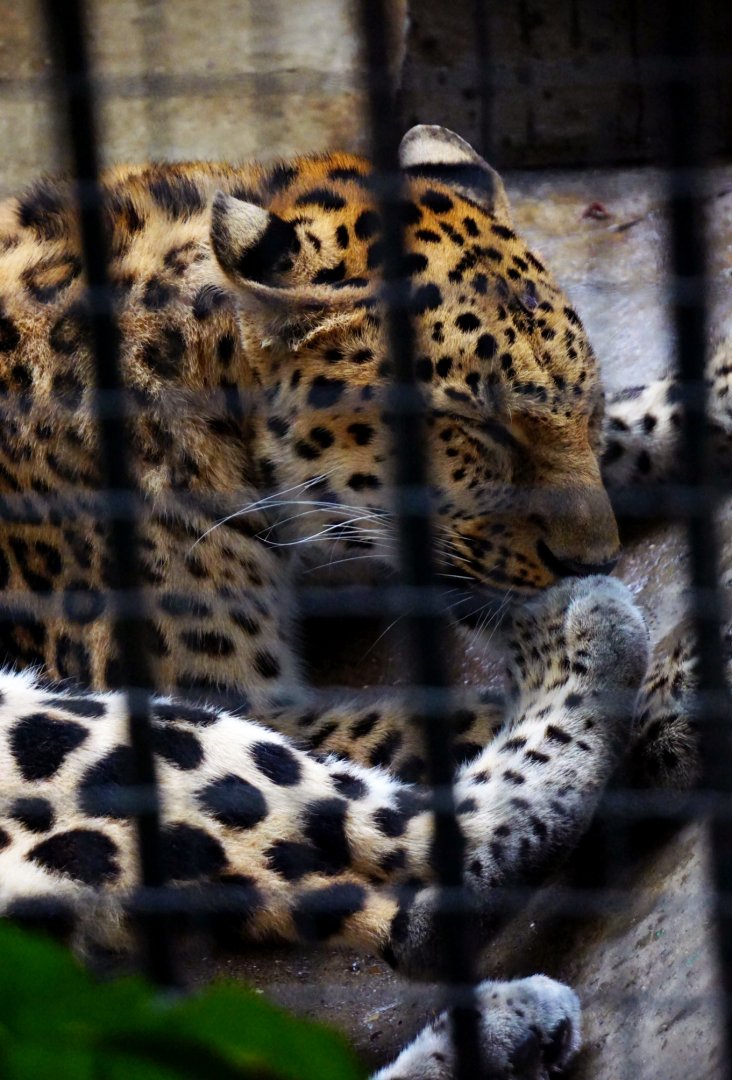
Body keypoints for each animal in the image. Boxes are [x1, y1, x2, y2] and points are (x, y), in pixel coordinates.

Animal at [0, 123, 724, 1078]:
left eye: (586, 395)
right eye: (477, 429)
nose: (593, 560)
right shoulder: (234, 694)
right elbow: (427, 724)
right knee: (412, 869)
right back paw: (629, 661)